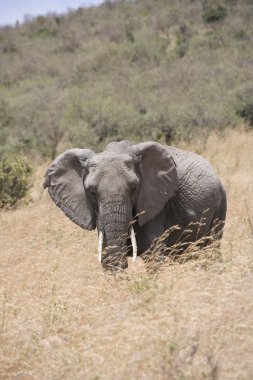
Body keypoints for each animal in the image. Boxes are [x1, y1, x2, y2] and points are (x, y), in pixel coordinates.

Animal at [43, 141, 227, 272]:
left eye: (133, 188)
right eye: (92, 192)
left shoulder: (155, 205)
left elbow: (153, 255)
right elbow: (107, 255)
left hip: (220, 204)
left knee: (211, 249)